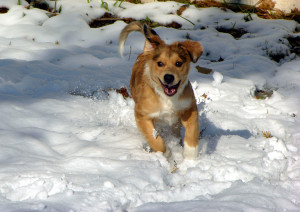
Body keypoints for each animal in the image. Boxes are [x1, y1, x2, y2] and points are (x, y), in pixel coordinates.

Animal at [118, 21, 203, 159]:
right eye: (160, 63)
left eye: (178, 63)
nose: (168, 77)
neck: (167, 98)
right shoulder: (142, 115)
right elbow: (156, 140)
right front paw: (168, 156)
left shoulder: (189, 108)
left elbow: (192, 132)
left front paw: (190, 157)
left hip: (175, 123)